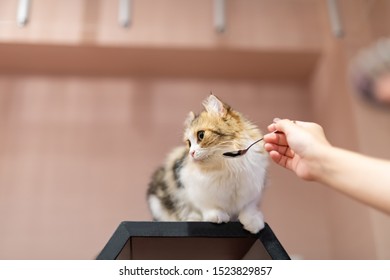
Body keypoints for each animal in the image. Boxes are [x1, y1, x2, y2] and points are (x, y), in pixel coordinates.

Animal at [146, 95, 268, 233]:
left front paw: (253, 222)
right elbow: (208, 205)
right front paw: (217, 216)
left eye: (201, 135)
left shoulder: (253, 188)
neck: (229, 167)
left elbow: (248, 208)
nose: (191, 153)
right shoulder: (195, 188)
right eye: (189, 143)